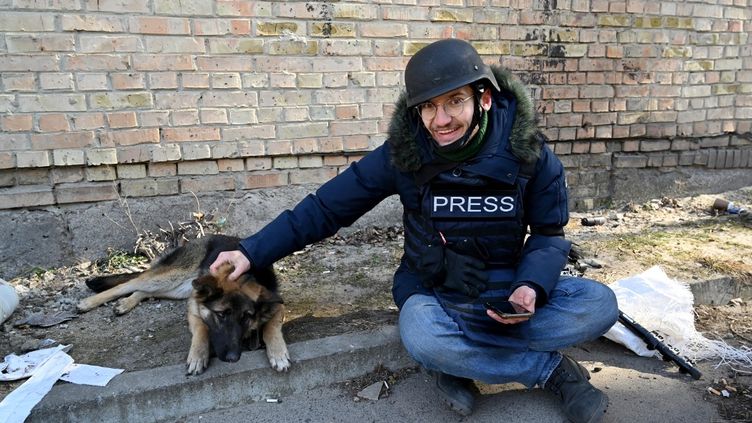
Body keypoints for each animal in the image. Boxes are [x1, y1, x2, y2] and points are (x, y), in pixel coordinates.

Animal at [75, 235, 288, 378]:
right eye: (220, 315)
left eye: (246, 317)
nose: (233, 358)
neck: (243, 275)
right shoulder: (193, 310)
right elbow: (202, 329)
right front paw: (198, 356)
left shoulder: (277, 307)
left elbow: (271, 327)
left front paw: (278, 353)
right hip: (172, 276)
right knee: (130, 283)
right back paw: (88, 303)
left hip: (179, 288)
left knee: (144, 291)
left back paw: (125, 303)